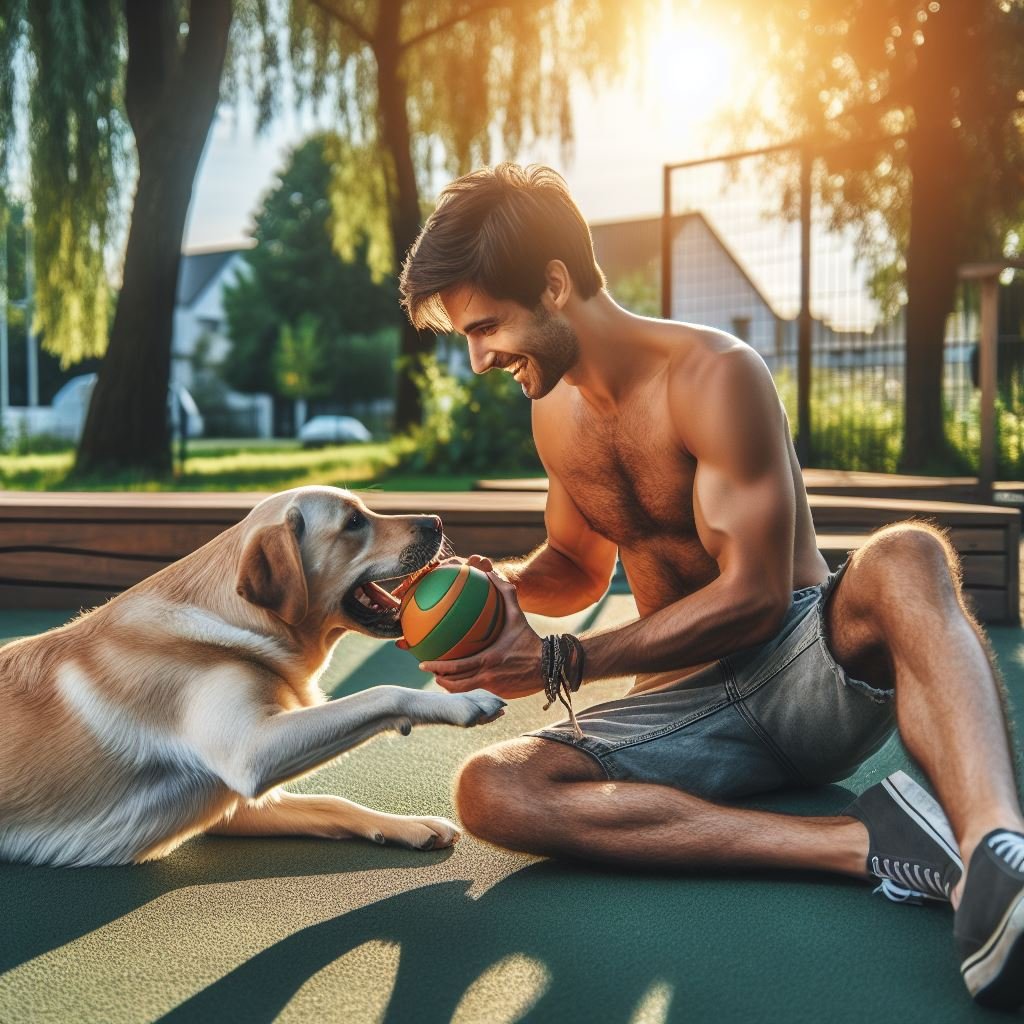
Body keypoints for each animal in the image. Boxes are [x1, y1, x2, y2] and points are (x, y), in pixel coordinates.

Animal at [0, 485, 503, 864]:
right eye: (354, 523)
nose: (437, 521)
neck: (235, 619)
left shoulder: (230, 807)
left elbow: (332, 802)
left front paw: (407, 826)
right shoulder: (249, 753)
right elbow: (379, 693)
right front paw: (462, 702)